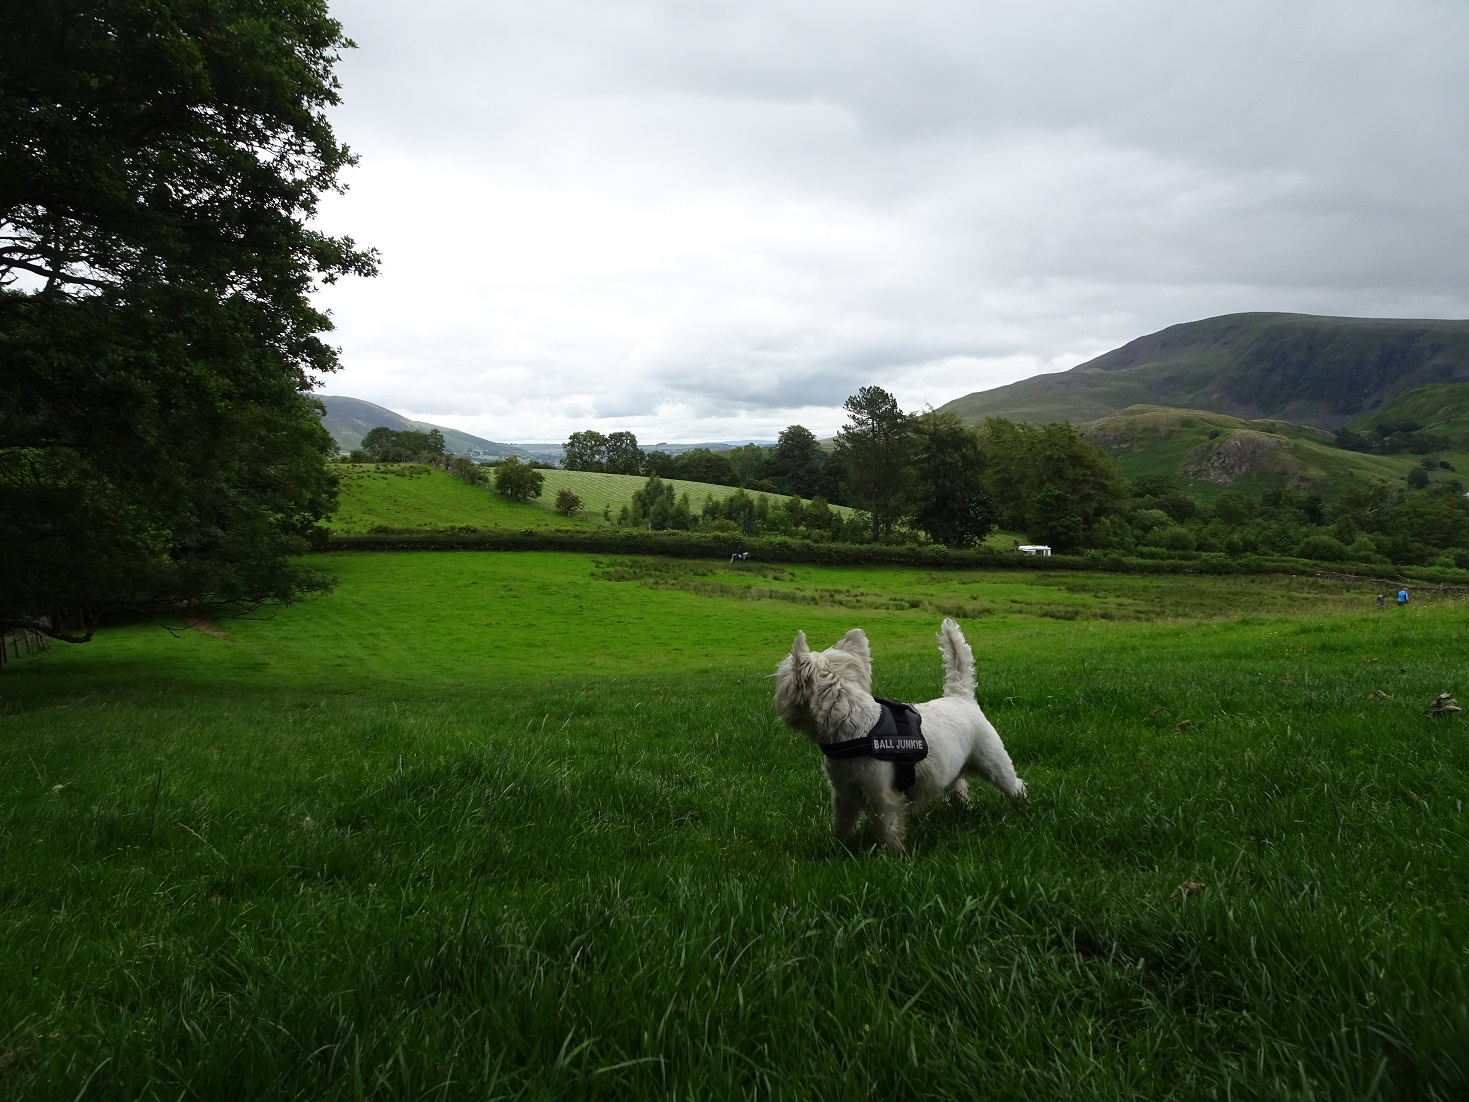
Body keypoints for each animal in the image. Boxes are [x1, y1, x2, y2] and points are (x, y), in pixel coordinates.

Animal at [775, 622, 1028, 852]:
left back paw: (1022, 808)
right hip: (954, 763)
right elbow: (843, 825)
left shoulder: (884, 797)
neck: (854, 727)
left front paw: (890, 857)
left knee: (1013, 783)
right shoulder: (843, 793)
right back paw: (962, 809)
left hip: (992, 757)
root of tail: (961, 696)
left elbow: (887, 829)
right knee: (959, 785)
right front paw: (840, 849)